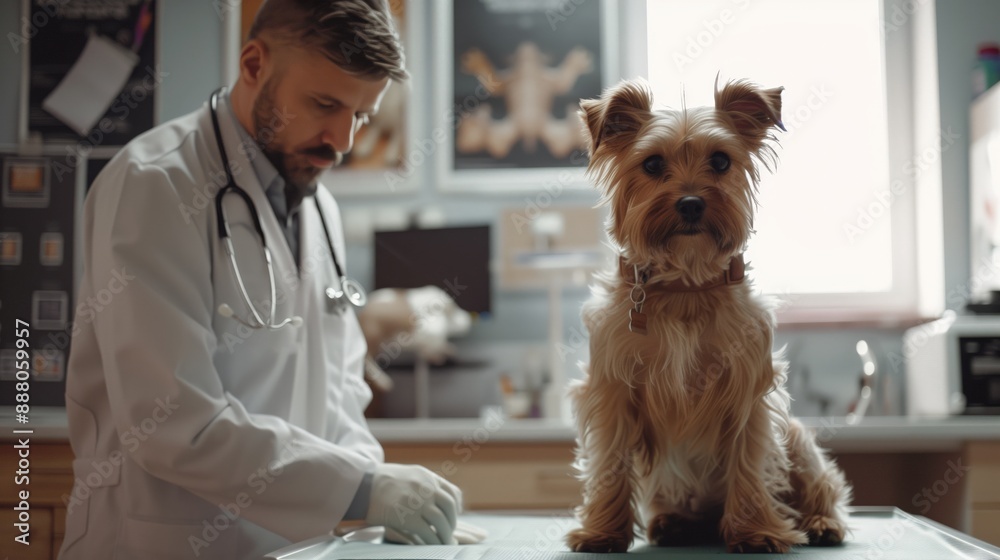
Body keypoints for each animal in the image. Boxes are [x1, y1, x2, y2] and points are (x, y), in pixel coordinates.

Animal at [568, 80, 848, 556]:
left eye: (720, 161)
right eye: (652, 163)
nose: (691, 203)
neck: (684, 285)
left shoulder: (749, 392)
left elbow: (750, 464)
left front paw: (755, 532)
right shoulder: (611, 392)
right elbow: (609, 465)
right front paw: (602, 532)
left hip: (796, 438)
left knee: (822, 487)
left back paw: (820, 522)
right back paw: (673, 524)